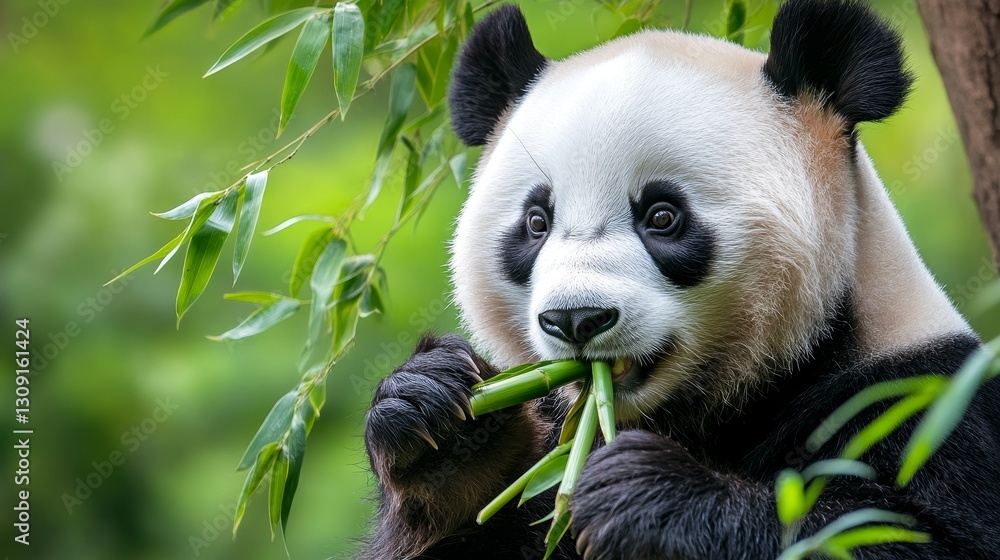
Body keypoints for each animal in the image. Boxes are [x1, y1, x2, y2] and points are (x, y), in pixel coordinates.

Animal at [361, 0, 1000, 558]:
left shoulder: (925, 401)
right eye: (537, 222)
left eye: (662, 216)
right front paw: (443, 428)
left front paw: (646, 494)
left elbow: (912, 537)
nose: (576, 319)